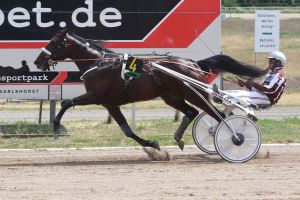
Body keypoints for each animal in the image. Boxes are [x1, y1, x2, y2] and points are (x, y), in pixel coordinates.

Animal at [34, 28, 266, 150]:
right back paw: (180, 137)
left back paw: (236, 137)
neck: (98, 63)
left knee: (218, 115)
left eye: (53, 42)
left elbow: (66, 102)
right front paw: (152, 145)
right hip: (172, 96)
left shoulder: (97, 96)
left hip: (193, 93)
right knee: (193, 112)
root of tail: (193, 63)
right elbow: (127, 129)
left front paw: (56, 126)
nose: (38, 61)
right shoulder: (110, 104)